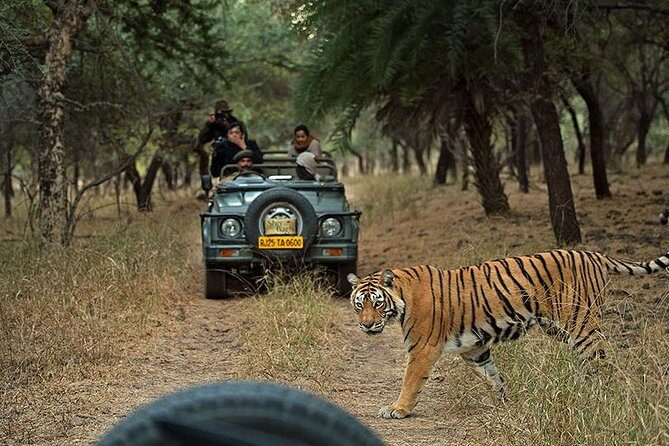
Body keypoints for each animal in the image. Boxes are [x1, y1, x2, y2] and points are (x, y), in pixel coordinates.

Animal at [347, 249, 669, 419]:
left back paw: (600, 396)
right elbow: (492, 377)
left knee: (603, 360)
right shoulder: (474, 349)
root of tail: (593, 253)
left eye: (377, 303)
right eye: (359, 304)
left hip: (581, 323)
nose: (367, 325)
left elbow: (410, 382)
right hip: (559, 328)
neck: (401, 298)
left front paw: (397, 409)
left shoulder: (422, 349)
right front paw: (505, 403)